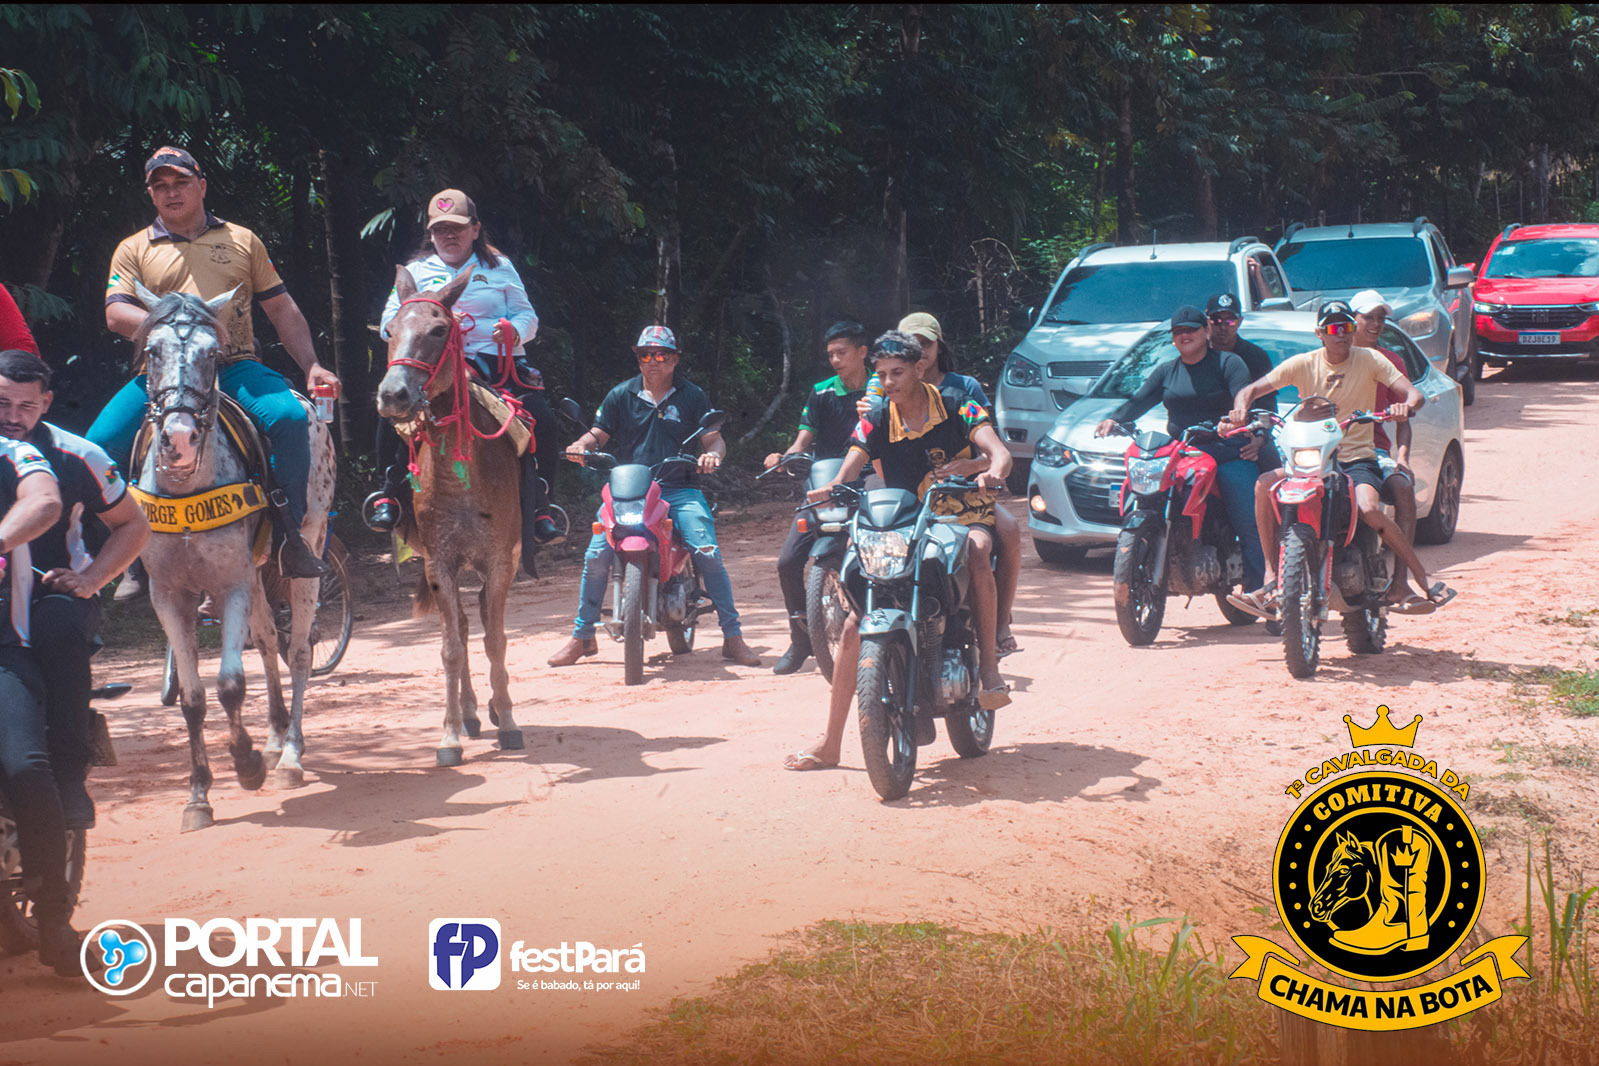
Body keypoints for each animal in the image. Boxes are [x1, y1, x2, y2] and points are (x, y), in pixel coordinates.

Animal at [130, 282, 337, 831]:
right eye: (152, 351)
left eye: (212, 354)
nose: (179, 438)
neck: (186, 493)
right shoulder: (168, 596)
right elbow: (193, 698)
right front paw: (198, 795)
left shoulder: (233, 584)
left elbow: (228, 684)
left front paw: (245, 764)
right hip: (261, 569)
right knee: (265, 642)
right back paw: (275, 736)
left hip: (305, 547)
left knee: (298, 651)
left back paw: (289, 755)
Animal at [376, 265, 525, 766]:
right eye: (389, 330)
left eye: (440, 330)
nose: (393, 394)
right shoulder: (439, 563)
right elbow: (450, 648)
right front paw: (450, 735)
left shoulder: (500, 561)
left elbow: (496, 639)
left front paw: (510, 723)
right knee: (461, 625)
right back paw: (473, 713)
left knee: (483, 621)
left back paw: (495, 710)